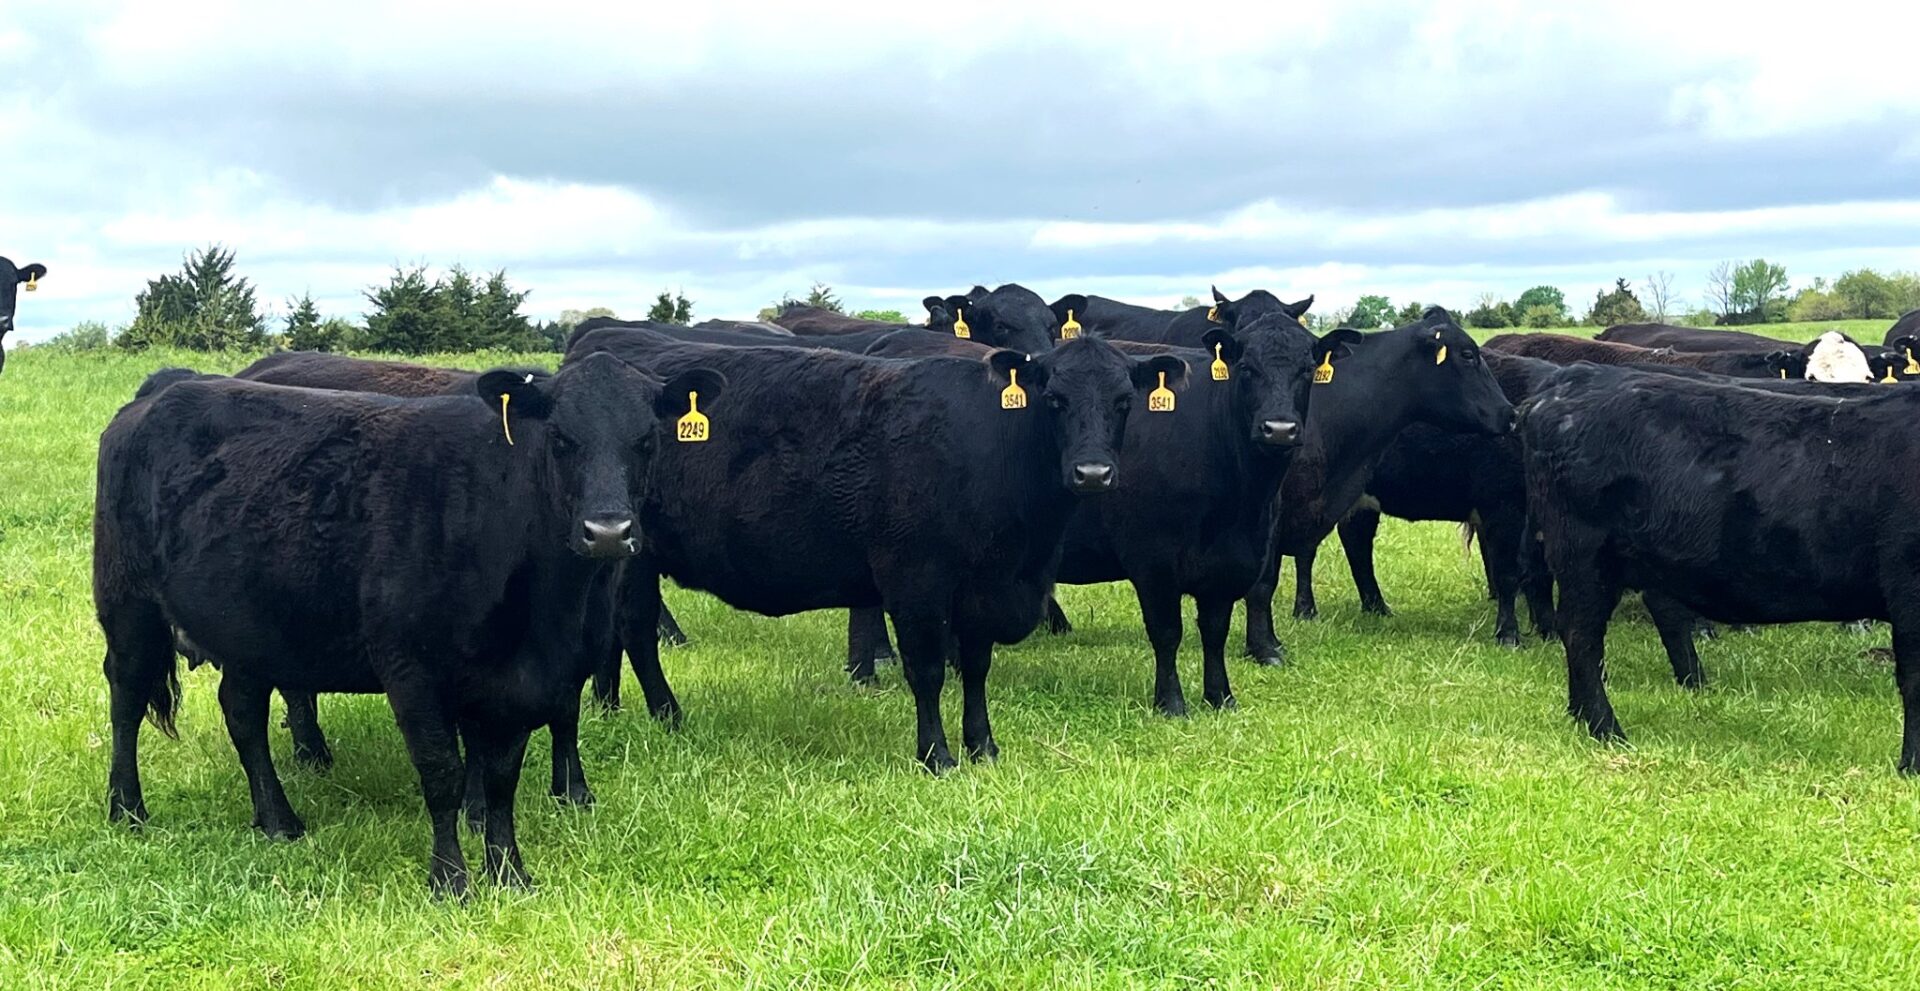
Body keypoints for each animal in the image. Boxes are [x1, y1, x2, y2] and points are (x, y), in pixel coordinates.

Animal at [560, 328, 1175, 772]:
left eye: (1124, 402)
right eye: (1053, 400)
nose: (1092, 473)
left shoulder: (982, 587)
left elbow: (976, 669)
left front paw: (984, 747)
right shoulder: (916, 580)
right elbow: (927, 670)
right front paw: (937, 757)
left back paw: (610, 706)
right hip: (634, 553)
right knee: (638, 629)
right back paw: (668, 715)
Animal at [1520, 362, 1920, 775]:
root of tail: (1573, 378)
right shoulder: (1908, 583)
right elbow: (1915, 680)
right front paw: (1912, 766)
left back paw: (1582, 716)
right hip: (1586, 558)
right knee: (1581, 635)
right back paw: (1605, 729)